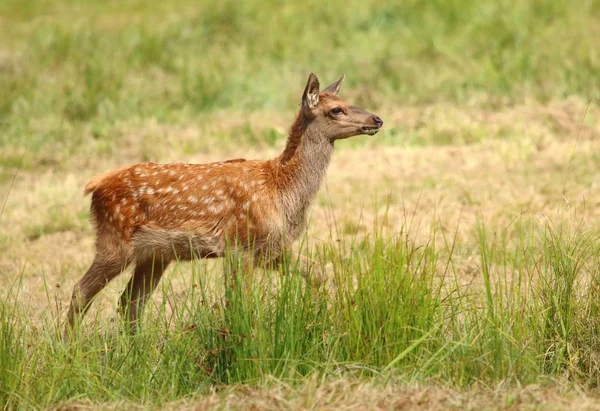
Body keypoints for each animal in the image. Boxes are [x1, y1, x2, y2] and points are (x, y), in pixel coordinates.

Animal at [64, 74, 384, 336]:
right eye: (336, 110)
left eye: (347, 101)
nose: (377, 119)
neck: (281, 189)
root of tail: (96, 185)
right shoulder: (240, 245)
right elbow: (240, 302)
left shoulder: (272, 248)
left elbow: (319, 272)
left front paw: (323, 318)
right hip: (114, 241)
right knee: (81, 291)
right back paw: (70, 348)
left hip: (154, 255)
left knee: (130, 302)